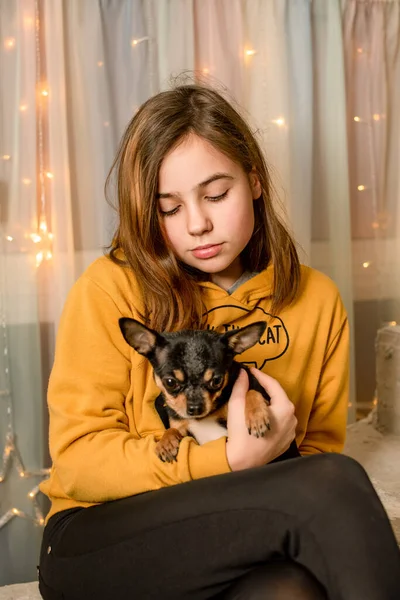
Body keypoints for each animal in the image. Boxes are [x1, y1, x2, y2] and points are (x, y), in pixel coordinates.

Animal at [117, 318, 298, 464]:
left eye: (216, 380)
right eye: (170, 382)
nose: (195, 408)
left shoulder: (259, 390)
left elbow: (251, 392)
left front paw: (257, 417)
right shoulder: (183, 428)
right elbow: (172, 429)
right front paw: (165, 443)